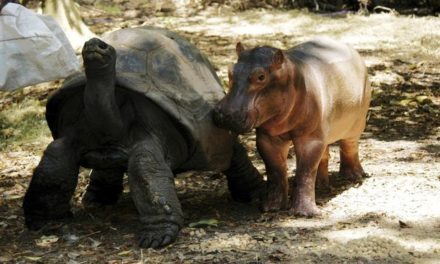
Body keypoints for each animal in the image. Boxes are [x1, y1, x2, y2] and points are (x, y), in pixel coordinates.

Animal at [213, 37, 372, 217]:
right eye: (230, 71)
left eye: (261, 76)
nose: (224, 114)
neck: (292, 75)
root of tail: (352, 50)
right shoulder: (268, 138)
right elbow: (275, 170)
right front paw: (271, 207)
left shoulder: (309, 138)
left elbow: (305, 171)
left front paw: (305, 213)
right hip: (323, 129)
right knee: (324, 154)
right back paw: (320, 185)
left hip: (357, 121)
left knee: (349, 144)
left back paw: (353, 177)